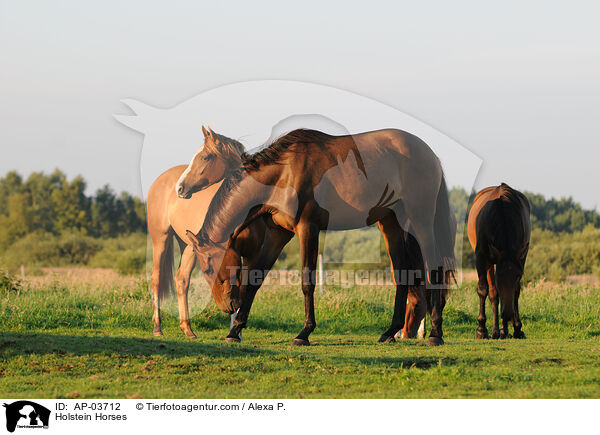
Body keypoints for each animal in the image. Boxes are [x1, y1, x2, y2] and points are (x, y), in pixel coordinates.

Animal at [466, 184, 532, 340]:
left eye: (518, 276)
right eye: (499, 278)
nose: (507, 314)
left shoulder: (521, 258)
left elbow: (515, 291)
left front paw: (517, 328)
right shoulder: (481, 258)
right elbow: (484, 290)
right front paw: (481, 329)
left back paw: (504, 330)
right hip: (489, 263)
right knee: (492, 293)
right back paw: (495, 330)